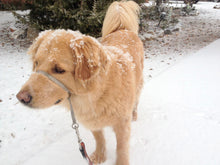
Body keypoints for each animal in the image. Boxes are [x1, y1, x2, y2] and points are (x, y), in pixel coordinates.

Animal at [16, 0, 144, 164]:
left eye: (59, 69)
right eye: (36, 63)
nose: (21, 97)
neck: (95, 96)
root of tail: (123, 29)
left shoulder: (122, 124)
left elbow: (121, 148)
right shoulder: (92, 121)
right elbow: (99, 138)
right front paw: (100, 156)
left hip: (139, 85)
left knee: (136, 100)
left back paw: (134, 114)